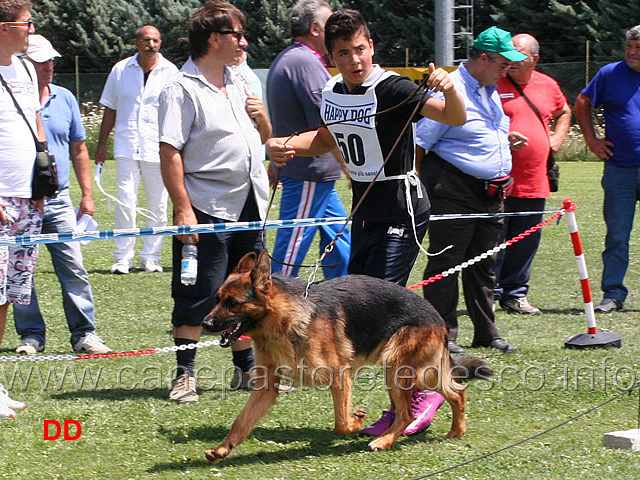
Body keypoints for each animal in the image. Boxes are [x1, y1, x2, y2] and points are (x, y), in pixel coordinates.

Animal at [202, 251, 492, 462]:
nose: (205, 323)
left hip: (398, 368)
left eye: (232, 303)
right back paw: (456, 431)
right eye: (217, 299)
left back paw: (385, 440)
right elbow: (241, 422)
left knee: (412, 411)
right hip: (417, 370)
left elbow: (341, 423)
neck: (284, 321)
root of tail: (437, 316)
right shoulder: (266, 387)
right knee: (457, 391)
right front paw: (223, 449)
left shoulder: (339, 376)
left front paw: (357, 420)